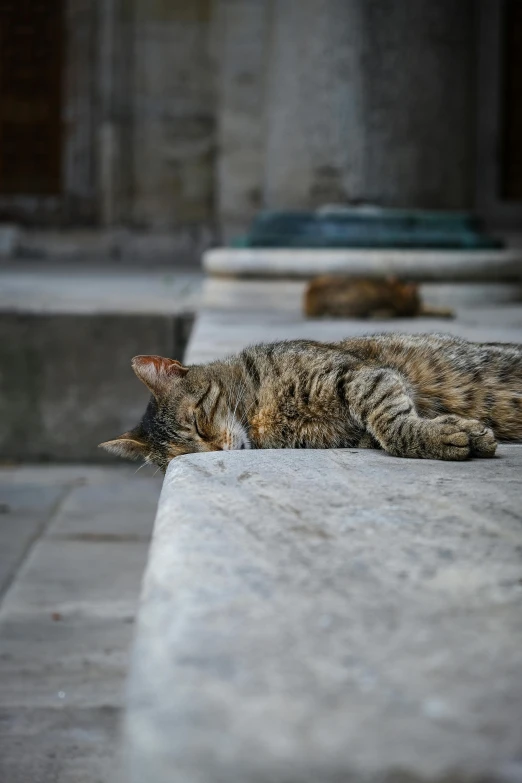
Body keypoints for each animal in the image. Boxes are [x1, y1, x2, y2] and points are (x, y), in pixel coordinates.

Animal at [99, 332, 516, 472]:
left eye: (199, 422)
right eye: (184, 456)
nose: (217, 449)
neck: (259, 415)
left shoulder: (359, 375)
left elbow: (391, 422)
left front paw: (440, 435)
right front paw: (458, 431)